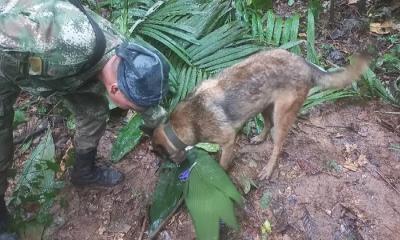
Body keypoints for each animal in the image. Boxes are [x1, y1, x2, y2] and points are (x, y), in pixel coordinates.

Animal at [151, 48, 368, 179]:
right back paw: (259, 138)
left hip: (281, 116)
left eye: (163, 157)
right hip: (264, 105)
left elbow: (222, 164)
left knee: (278, 145)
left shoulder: (228, 141)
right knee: (268, 124)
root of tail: (305, 63)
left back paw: (268, 169)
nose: (165, 169)